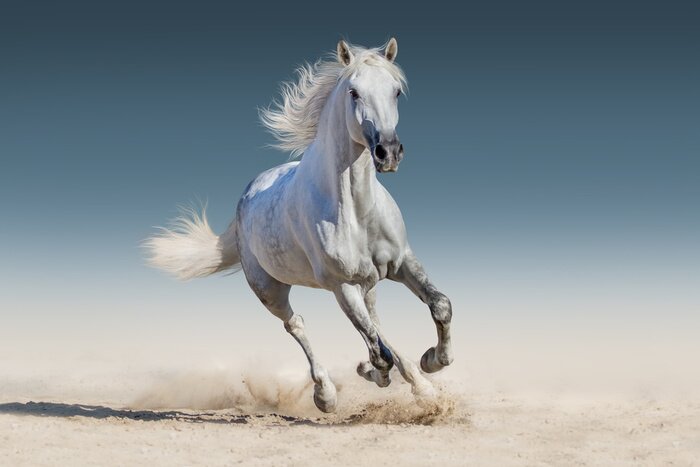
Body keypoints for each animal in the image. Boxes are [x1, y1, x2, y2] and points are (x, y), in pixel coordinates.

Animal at [144, 38, 453, 413]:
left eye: (395, 91)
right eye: (353, 92)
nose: (388, 153)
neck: (357, 210)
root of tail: (247, 194)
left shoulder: (402, 262)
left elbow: (439, 306)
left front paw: (432, 361)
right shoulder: (342, 285)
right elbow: (378, 352)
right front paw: (377, 373)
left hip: (368, 283)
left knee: (375, 322)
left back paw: (420, 385)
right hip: (270, 291)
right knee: (298, 325)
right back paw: (326, 395)